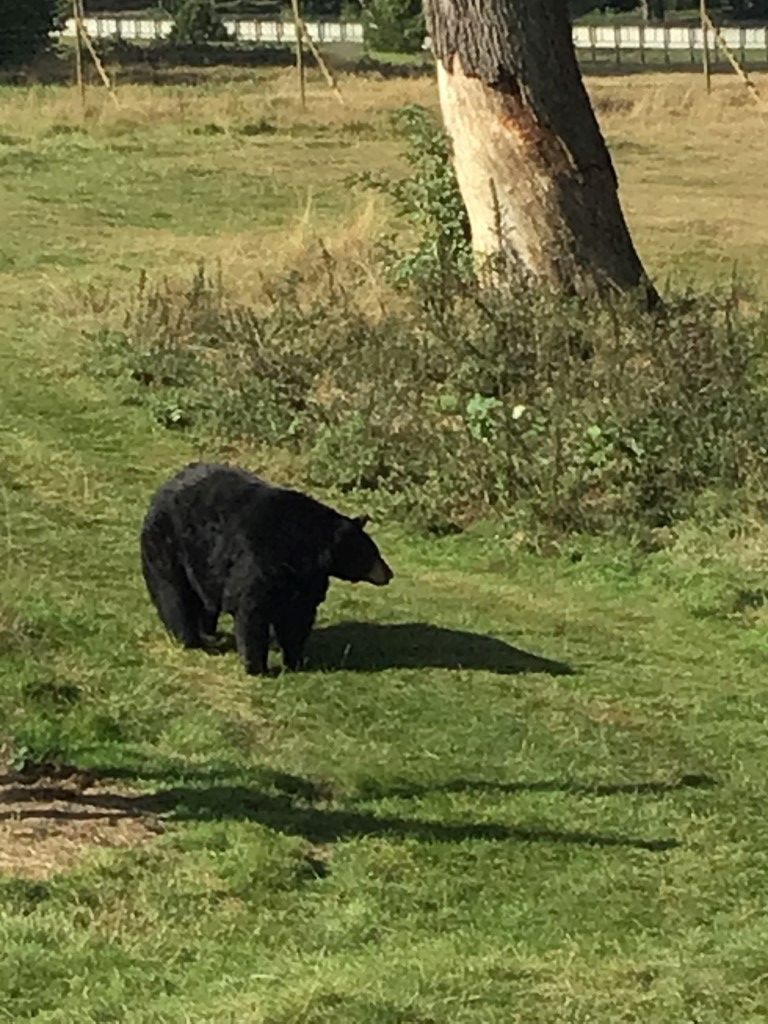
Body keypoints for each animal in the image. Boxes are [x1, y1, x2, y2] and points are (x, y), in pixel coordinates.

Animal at [138, 462, 393, 671]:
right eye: (373, 553)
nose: (389, 574)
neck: (306, 548)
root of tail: (161, 489)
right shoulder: (260, 558)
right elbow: (252, 608)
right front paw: (255, 666)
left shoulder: (306, 579)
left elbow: (297, 616)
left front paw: (295, 660)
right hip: (168, 543)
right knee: (174, 595)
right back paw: (191, 640)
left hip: (201, 561)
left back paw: (208, 633)